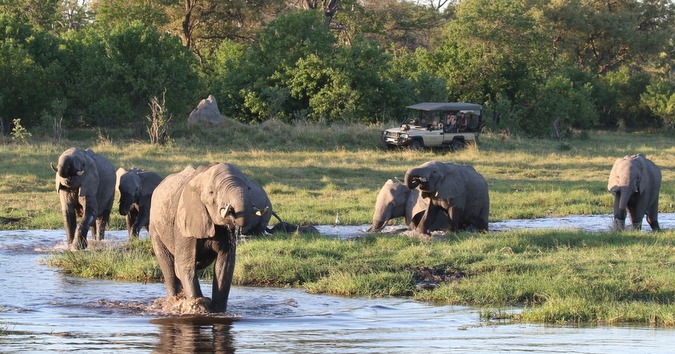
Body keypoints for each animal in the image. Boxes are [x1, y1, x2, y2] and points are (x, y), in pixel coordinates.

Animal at [149, 162, 274, 312]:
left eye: (249, 188)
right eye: (211, 192)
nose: (229, 208)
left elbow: (225, 266)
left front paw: (217, 309)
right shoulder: (184, 221)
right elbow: (185, 264)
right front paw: (199, 307)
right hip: (155, 228)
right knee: (168, 266)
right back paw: (172, 302)